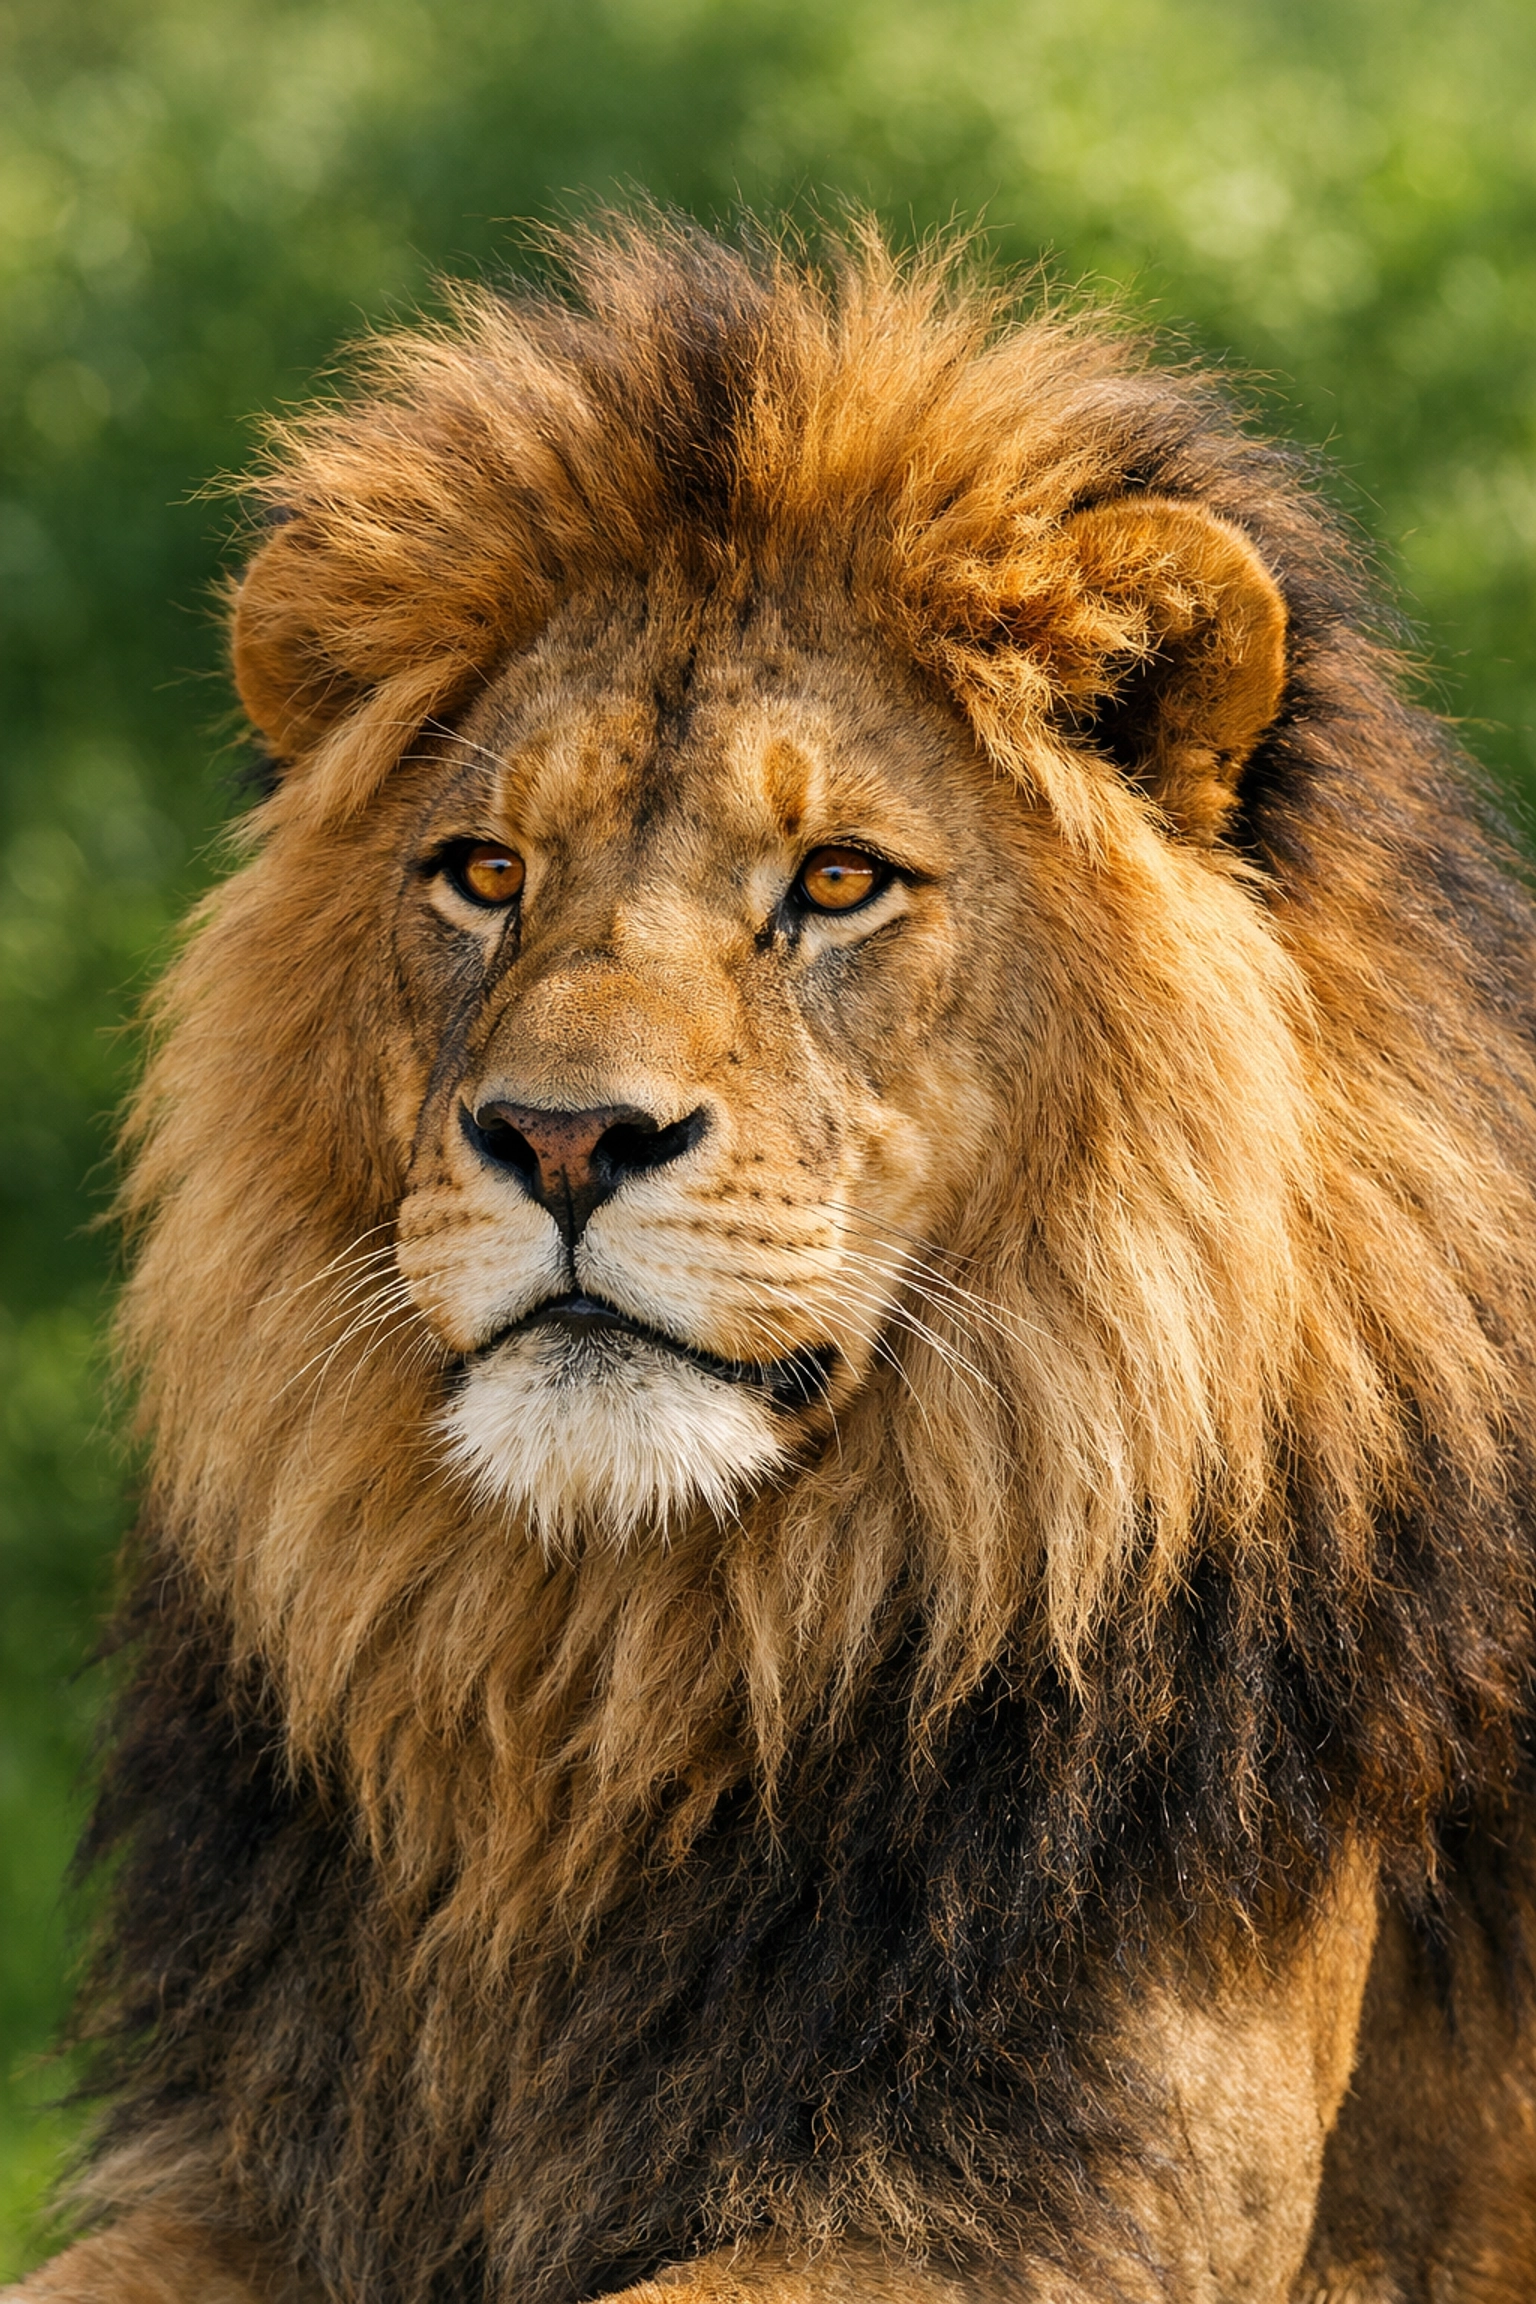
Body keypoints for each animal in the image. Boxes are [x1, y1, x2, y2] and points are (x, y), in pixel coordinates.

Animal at [12, 214, 1536, 2304]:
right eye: (484, 872)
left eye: (834, 881)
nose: (565, 1137)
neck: (610, 1671)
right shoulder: (242, 2164)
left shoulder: (1063, 2201)